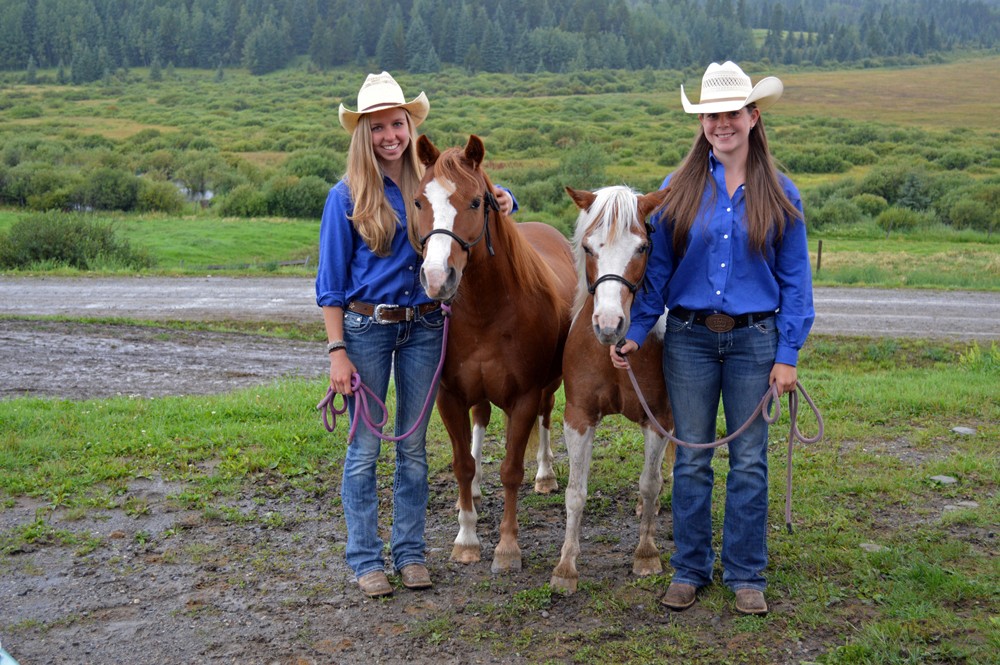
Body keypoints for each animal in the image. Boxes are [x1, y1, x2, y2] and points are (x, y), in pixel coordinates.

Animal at [414, 134, 576, 572]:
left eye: (475, 202)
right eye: (418, 201)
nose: (437, 278)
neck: (486, 311)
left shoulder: (524, 397)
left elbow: (511, 469)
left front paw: (507, 547)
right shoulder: (449, 396)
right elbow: (462, 464)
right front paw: (467, 538)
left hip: (549, 386)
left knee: (546, 418)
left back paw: (545, 474)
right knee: (481, 421)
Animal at [552, 185, 676, 592]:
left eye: (642, 247)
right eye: (588, 248)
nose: (609, 324)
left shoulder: (659, 419)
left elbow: (649, 483)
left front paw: (646, 554)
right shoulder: (578, 418)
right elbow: (575, 492)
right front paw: (566, 567)